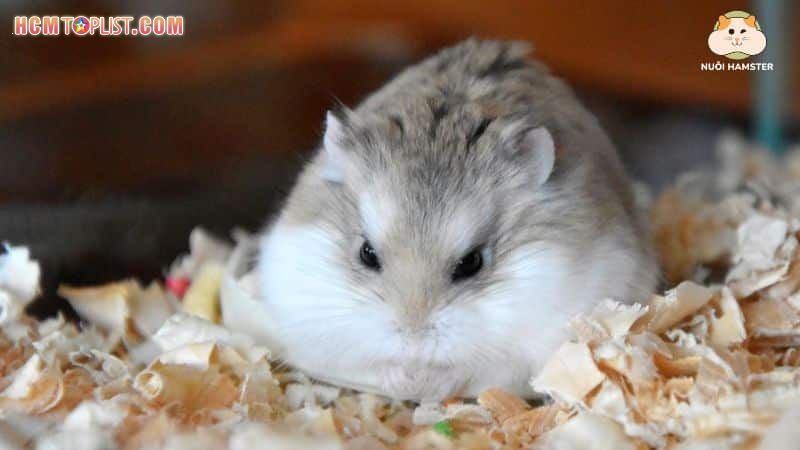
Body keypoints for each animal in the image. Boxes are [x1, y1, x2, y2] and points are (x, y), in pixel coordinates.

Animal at [258, 39, 658, 401]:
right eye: (367, 254)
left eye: (471, 263)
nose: (413, 340)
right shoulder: (316, 332)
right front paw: (404, 379)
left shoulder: (536, 341)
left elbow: (476, 369)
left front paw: (425, 382)